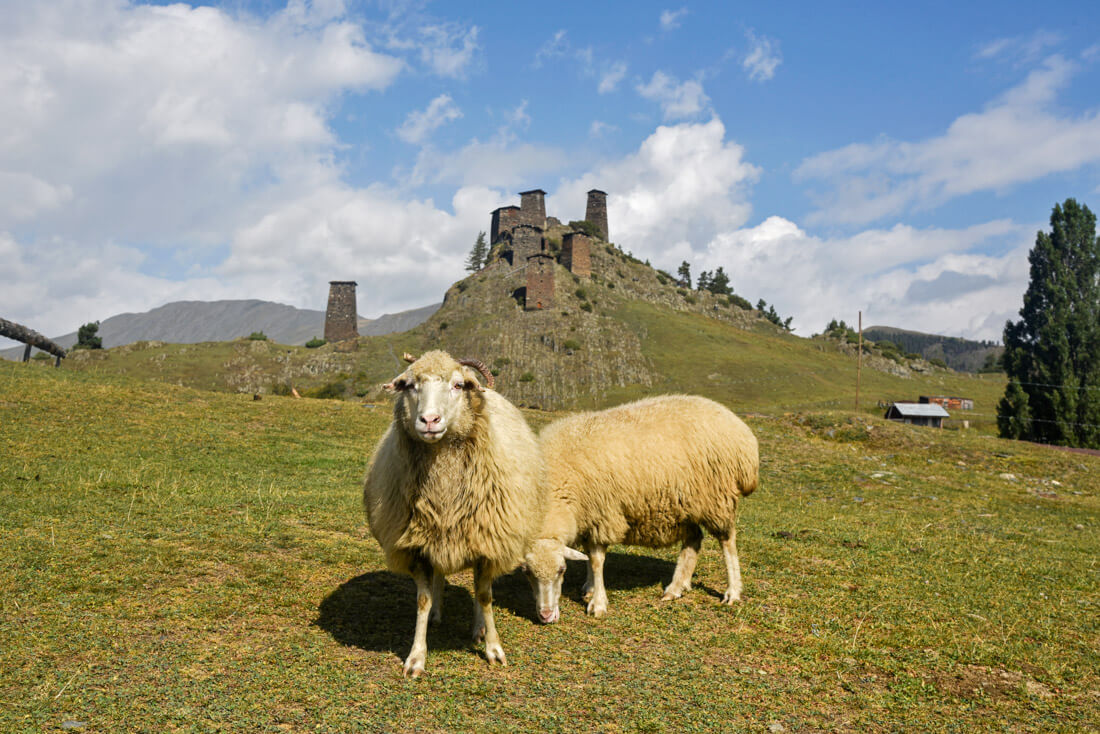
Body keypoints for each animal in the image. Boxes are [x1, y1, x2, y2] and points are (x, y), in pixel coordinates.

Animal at [365, 349, 545, 677]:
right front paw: (416, 656)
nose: (429, 420)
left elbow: (485, 597)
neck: (444, 491)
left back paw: (478, 629)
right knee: (439, 578)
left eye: (459, 385)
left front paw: (493, 648)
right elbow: (422, 600)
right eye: (409, 385)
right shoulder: (417, 547)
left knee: (477, 588)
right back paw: (438, 613)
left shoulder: (487, 543)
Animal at [521, 396, 756, 625]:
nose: (546, 616)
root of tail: (739, 427)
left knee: (727, 541)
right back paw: (676, 587)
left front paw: (598, 603)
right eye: (527, 572)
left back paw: (732, 592)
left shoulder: (603, 515)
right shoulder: (589, 517)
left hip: (717, 498)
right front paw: (589, 588)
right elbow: (588, 556)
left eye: (562, 570)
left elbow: (597, 561)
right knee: (694, 539)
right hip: (683, 506)